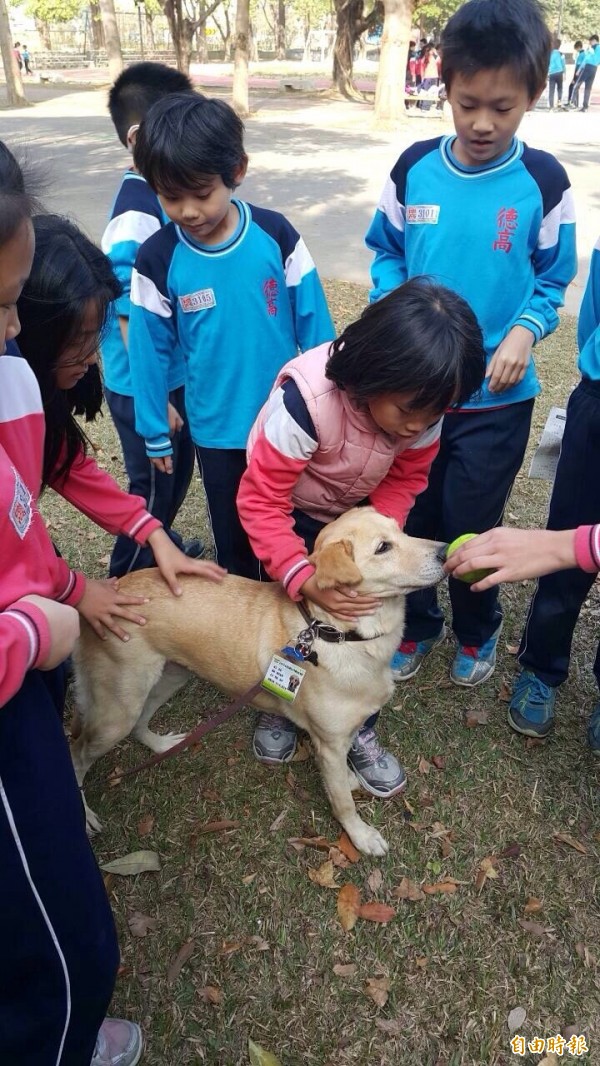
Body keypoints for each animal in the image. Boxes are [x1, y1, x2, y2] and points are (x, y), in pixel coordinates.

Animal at [73, 509, 445, 857]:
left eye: (401, 529)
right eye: (383, 547)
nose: (444, 550)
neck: (335, 633)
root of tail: (108, 593)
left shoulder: (345, 732)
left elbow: (344, 775)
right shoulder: (328, 744)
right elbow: (342, 802)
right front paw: (360, 836)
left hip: (167, 678)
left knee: (140, 723)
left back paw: (162, 745)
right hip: (118, 708)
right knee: (77, 752)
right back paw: (85, 814)